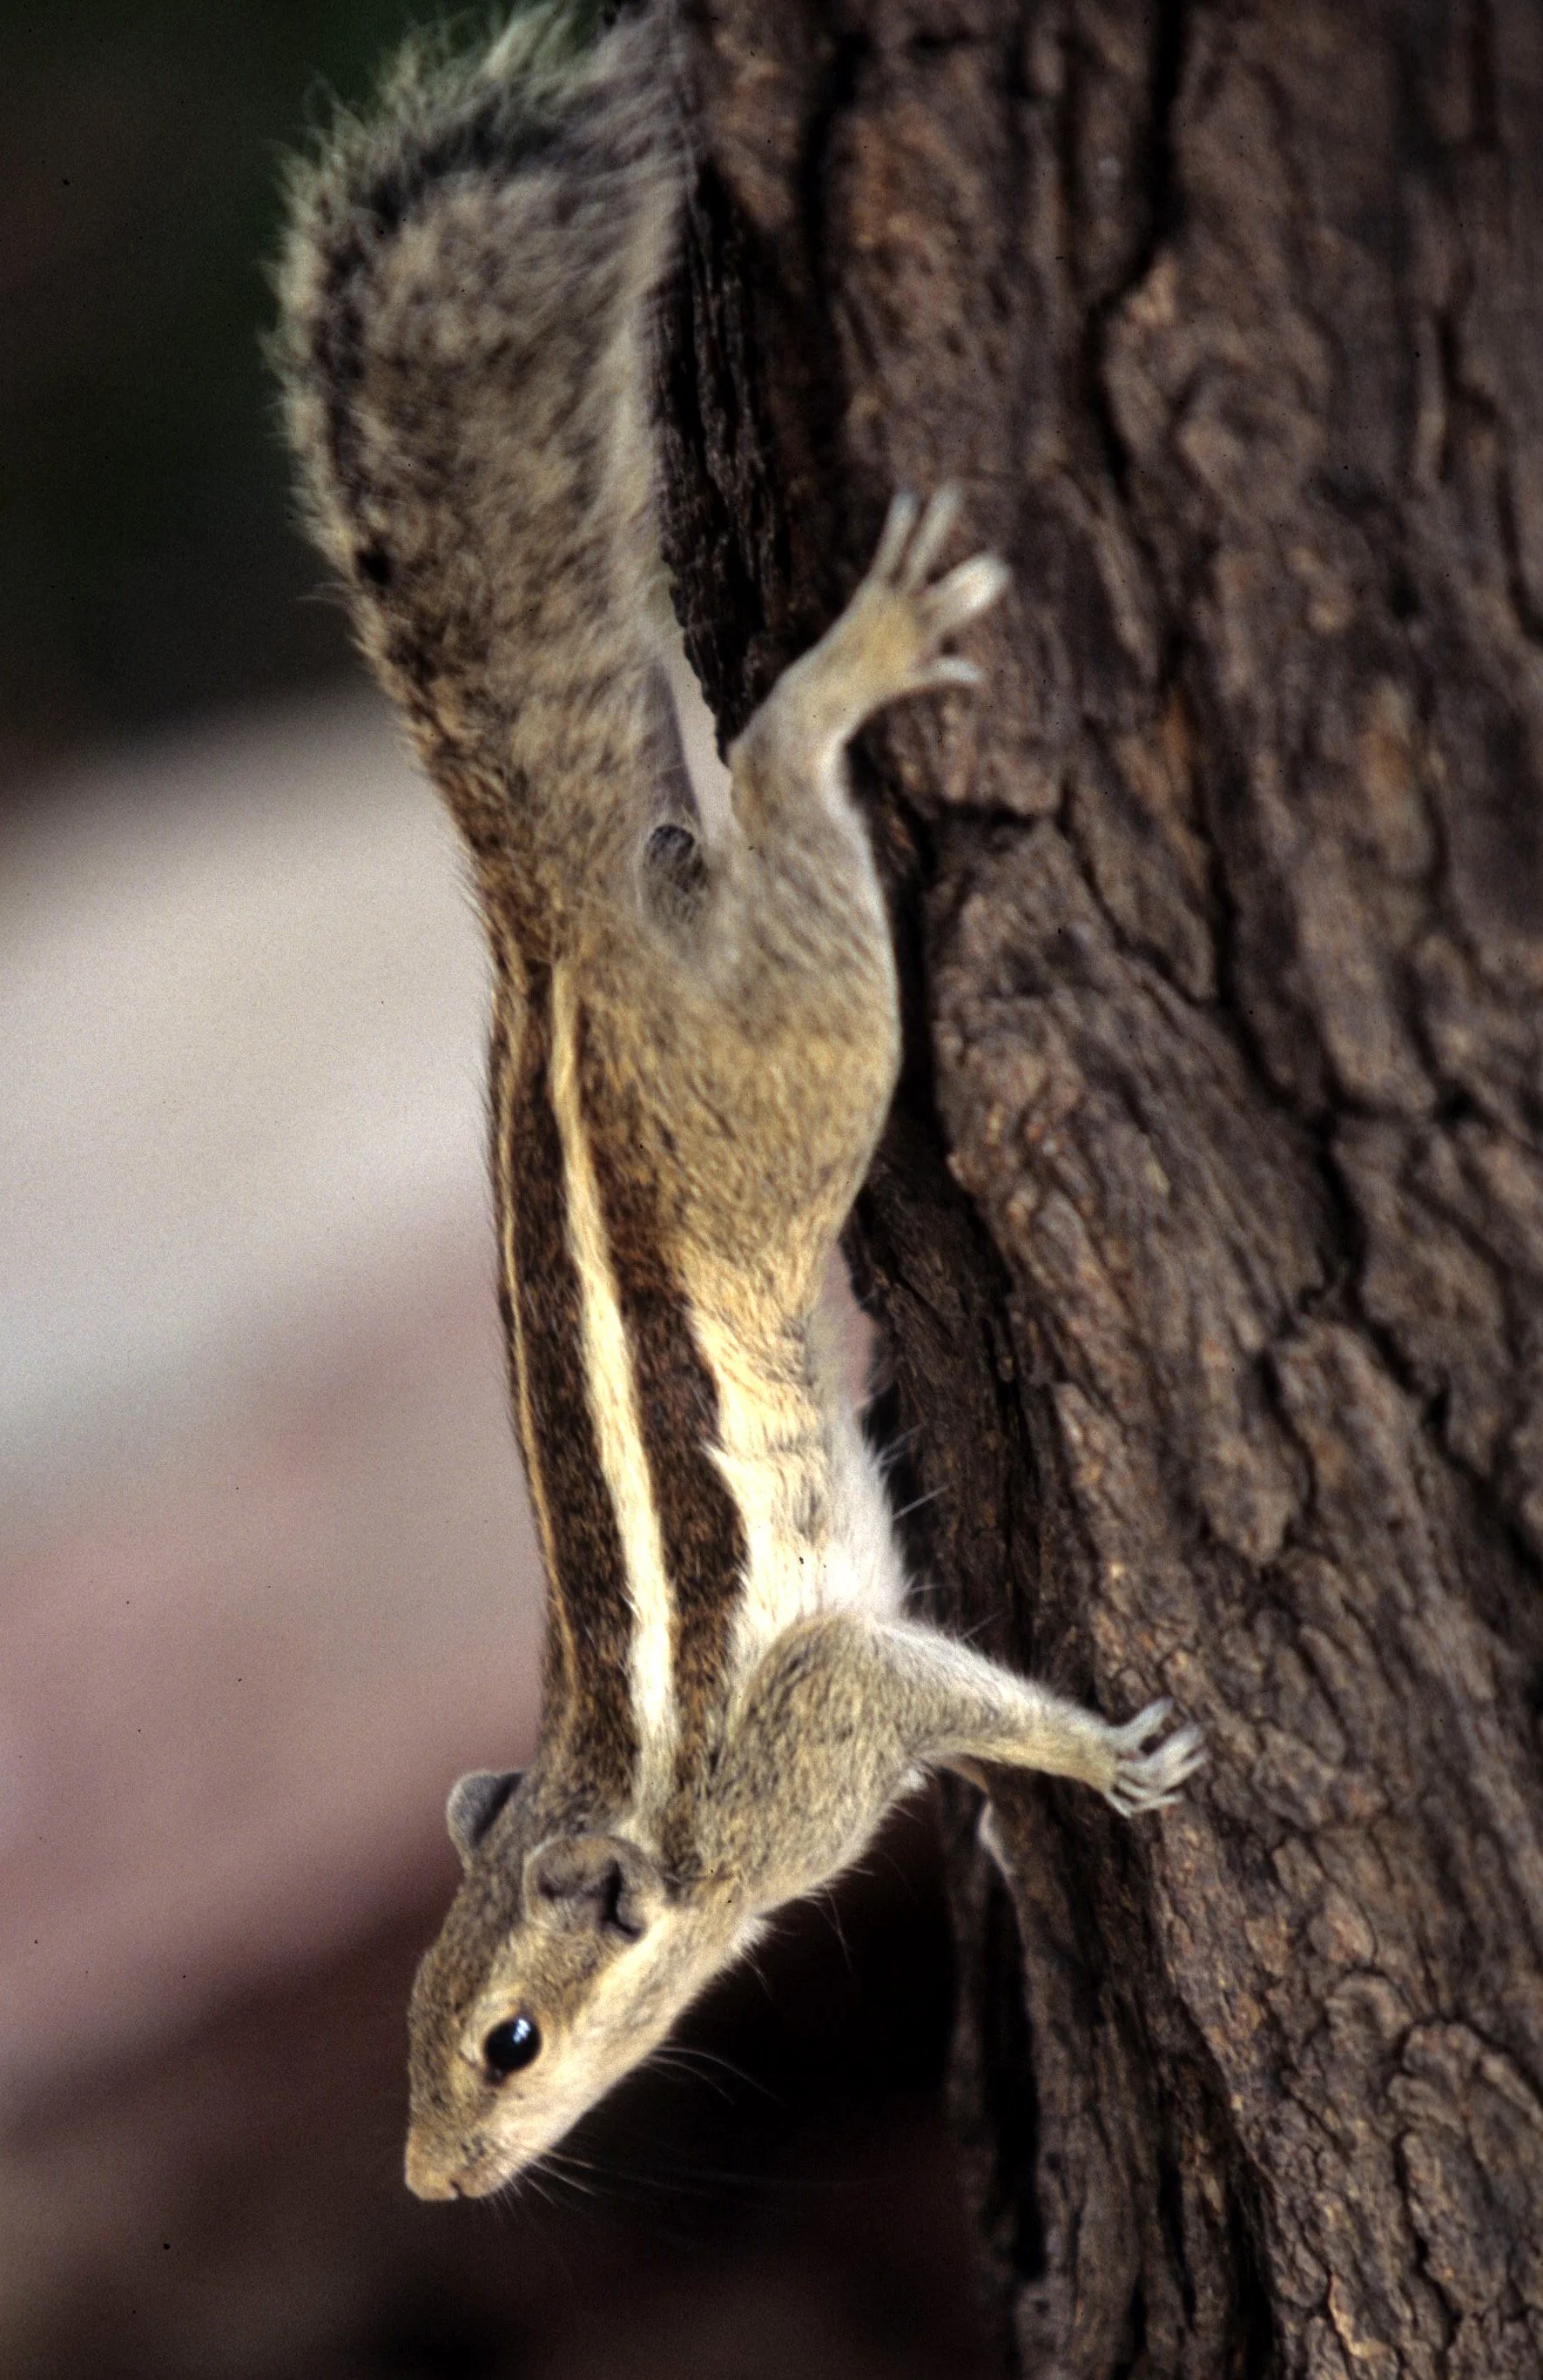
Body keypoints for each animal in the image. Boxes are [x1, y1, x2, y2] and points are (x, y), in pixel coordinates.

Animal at [274, 0, 1204, 2201]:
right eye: (412, 2022)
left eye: (511, 2038)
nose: (434, 2179)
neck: (648, 1829)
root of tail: (551, 944)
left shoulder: (818, 1733)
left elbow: (933, 1688)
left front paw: (1104, 1754)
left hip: (793, 1062)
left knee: (778, 782)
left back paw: (854, 664)